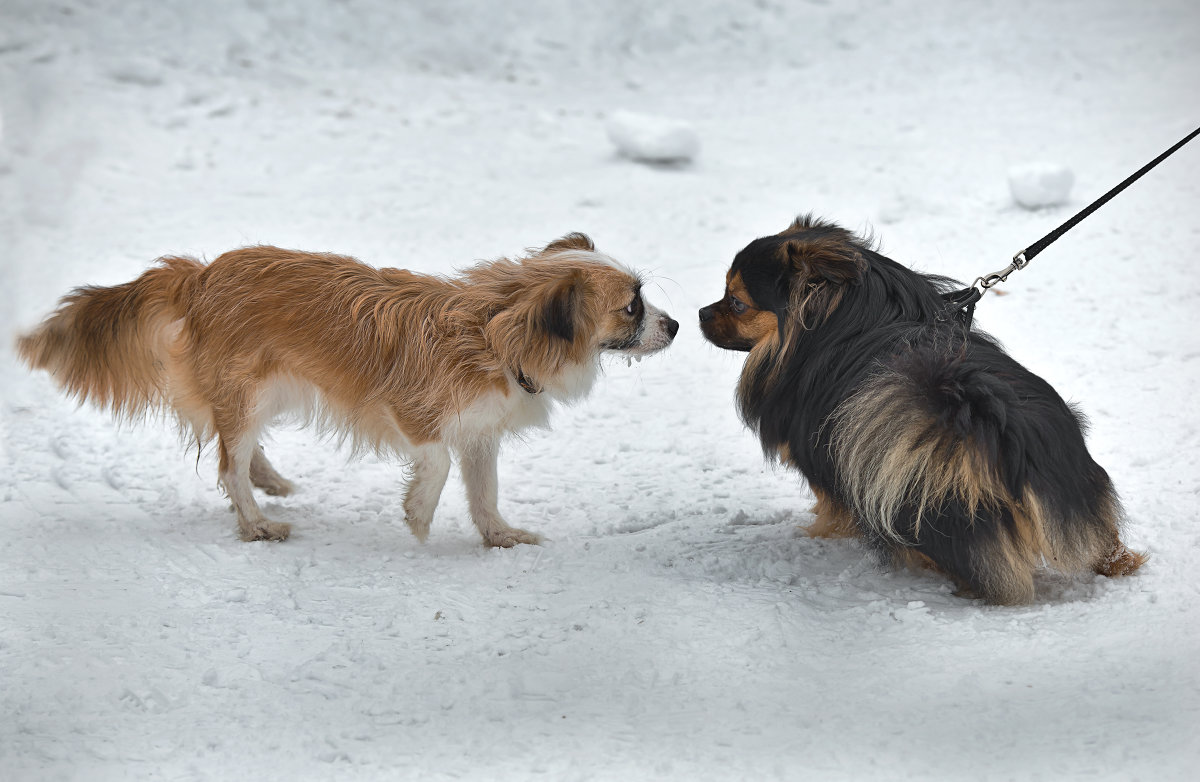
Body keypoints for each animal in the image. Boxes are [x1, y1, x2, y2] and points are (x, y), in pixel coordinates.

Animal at [700, 213, 1142, 604]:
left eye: (736, 303)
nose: (701, 312)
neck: (844, 314)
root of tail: (988, 422)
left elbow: (831, 506)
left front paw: (822, 533)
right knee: (1108, 547)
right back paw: (1119, 561)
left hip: (933, 509)